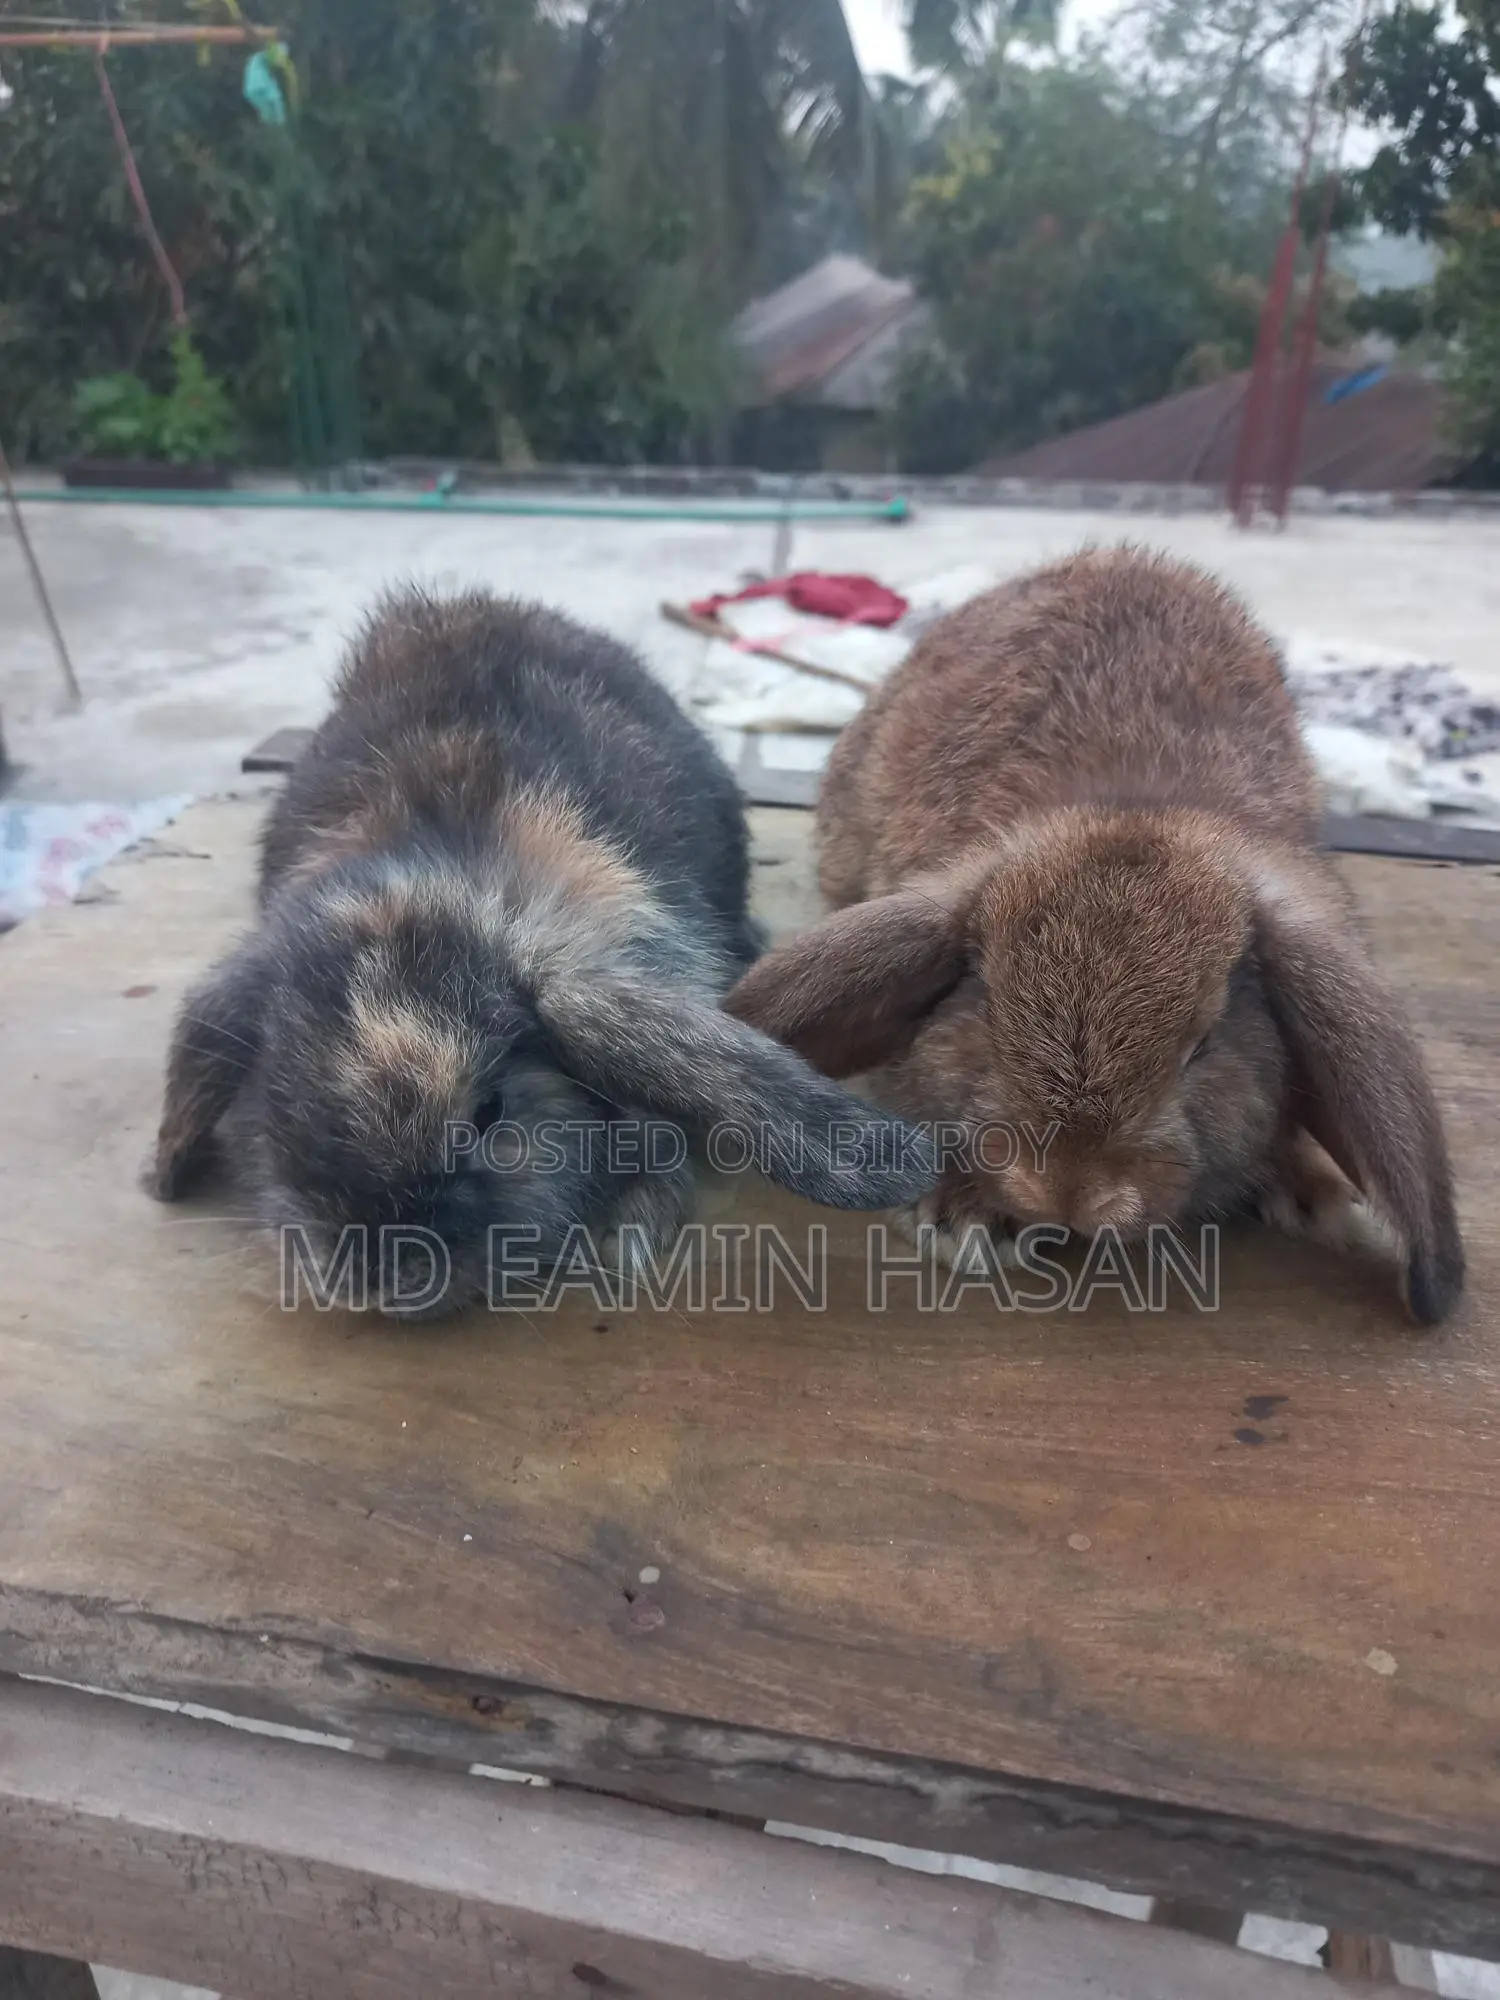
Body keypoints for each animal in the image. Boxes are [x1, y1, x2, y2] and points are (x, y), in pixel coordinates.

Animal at [725, 546, 1464, 1324]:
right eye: (988, 1008)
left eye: (1203, 1046)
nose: (1067, 1192)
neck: (1134, 808)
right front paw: (968, 1223)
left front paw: (1314, 1193)